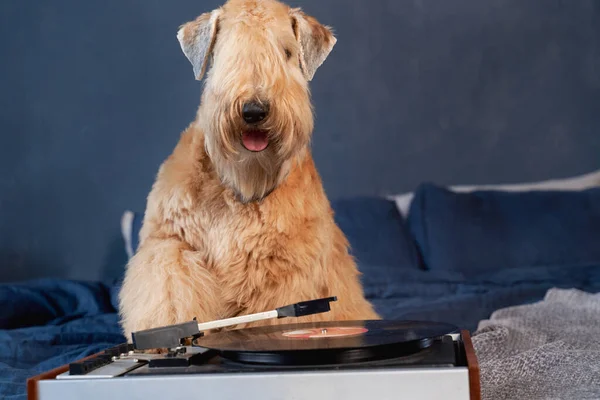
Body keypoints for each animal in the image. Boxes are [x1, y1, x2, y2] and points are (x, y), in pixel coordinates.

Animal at [117, 0, 380, 340]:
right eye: (227, 50)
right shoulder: (168, 243)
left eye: (286, 51)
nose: (254, 110)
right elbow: (169, 285)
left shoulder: (283, 269)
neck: (238, 186)